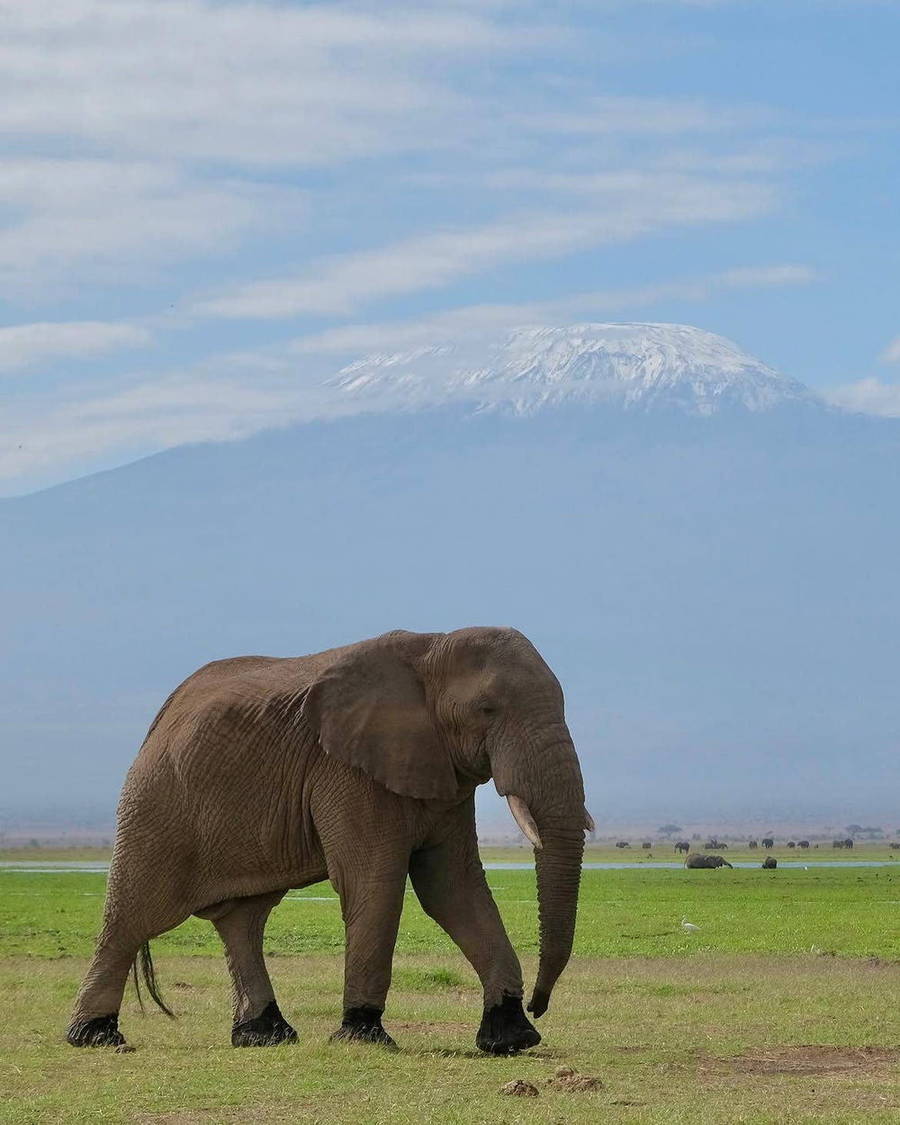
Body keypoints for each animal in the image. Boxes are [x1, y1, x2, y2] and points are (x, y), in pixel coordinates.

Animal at [66, 627, 590, 1057]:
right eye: (487, 710)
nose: (540, 1005)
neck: (432, 648)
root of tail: (162, 717)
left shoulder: (441, 776)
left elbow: (453, 888)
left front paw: (513, 1038)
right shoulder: (347, 771)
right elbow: (374, 884)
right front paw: (364, 1036)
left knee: (243, 920)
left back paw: (265, 1036)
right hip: (155, 803)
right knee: (133, 915)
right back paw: (96, 1036)